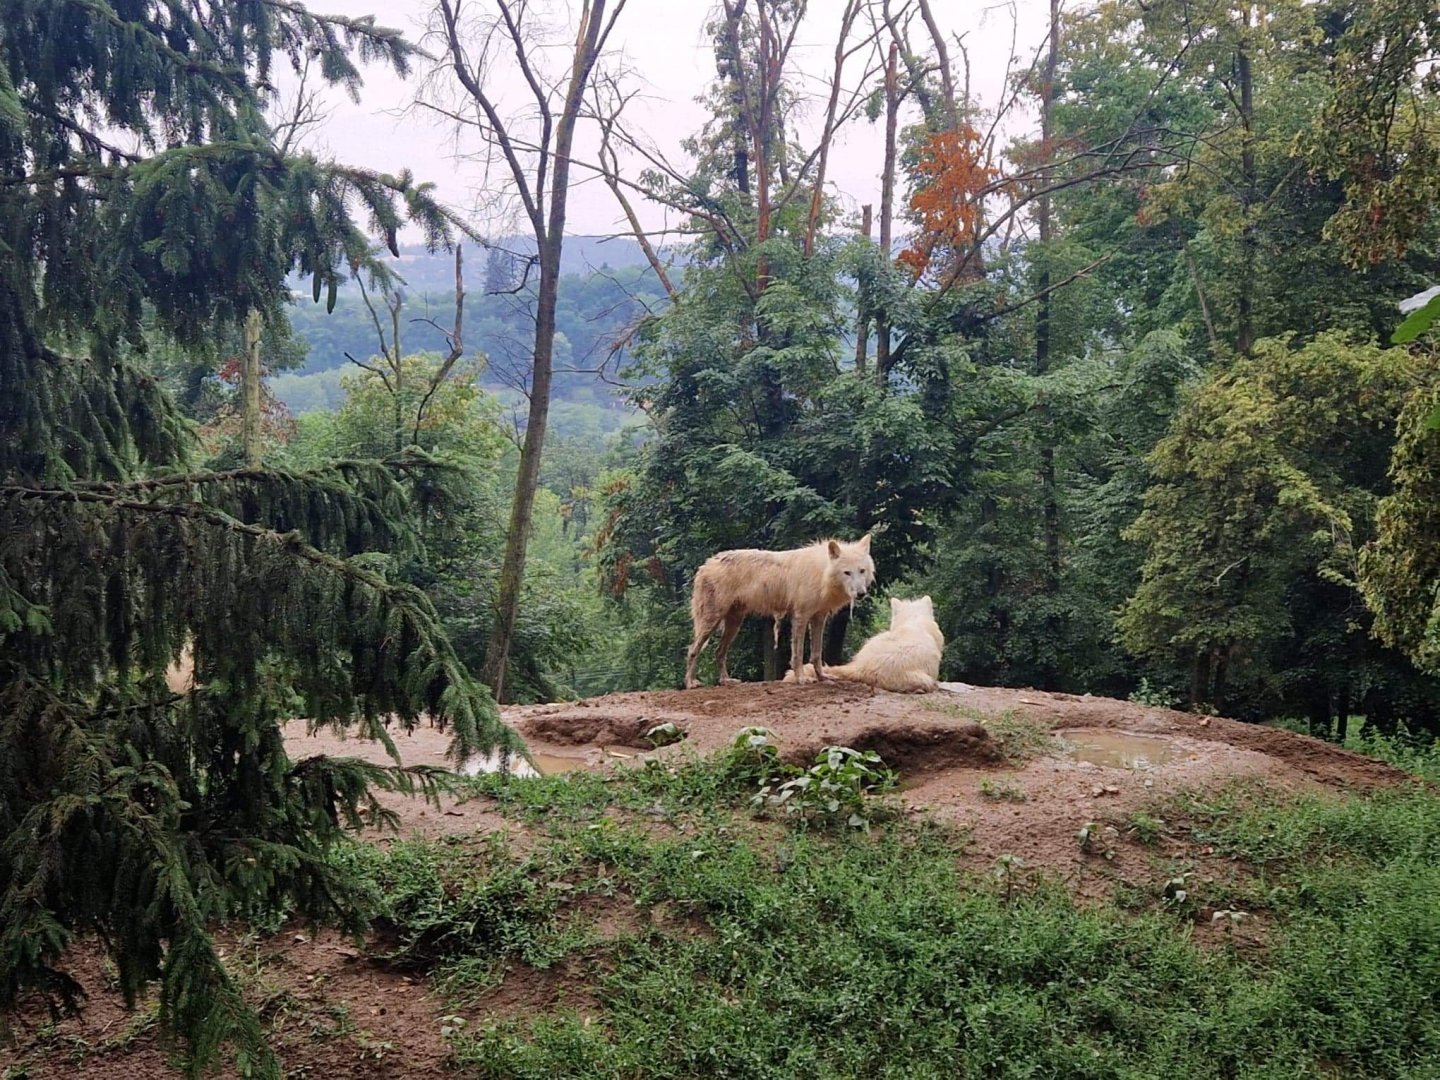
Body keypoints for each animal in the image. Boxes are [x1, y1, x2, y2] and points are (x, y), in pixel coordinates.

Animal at [684, 535, 875, 689]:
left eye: (862, 571)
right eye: (847, 572)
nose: (861, 594)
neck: (821, 573)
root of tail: (706, 565)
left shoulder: (819, 619)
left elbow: (816, 654)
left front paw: (822, 677)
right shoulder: (800, 617)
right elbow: (798, 654)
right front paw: (802, 679)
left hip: (734, 623)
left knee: (718, 652)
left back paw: (726, 681)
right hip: (711, 622)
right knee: (693, 649)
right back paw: (691, 683)